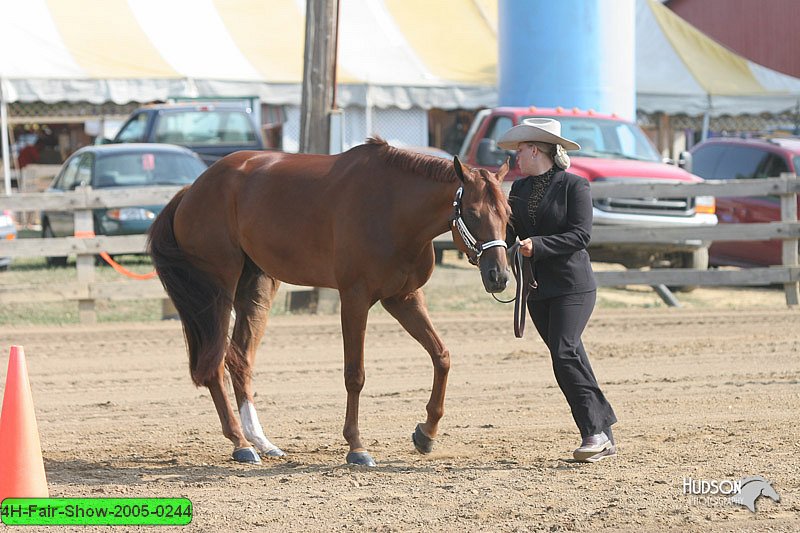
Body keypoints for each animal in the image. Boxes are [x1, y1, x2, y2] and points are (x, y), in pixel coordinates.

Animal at [147, 138, 510, 466]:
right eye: (473, 213)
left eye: (507, 212)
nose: (499, 276)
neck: (393, 206)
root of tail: (192, 189)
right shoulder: (354, 298)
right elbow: (355, 375)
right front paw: (357, 447)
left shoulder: (403, 298)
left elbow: (441, 357)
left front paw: (426, 433)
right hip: (218, 290)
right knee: (215, 362)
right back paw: (240, 443)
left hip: (256, 287)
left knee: (239, 359)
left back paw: (262, 442)